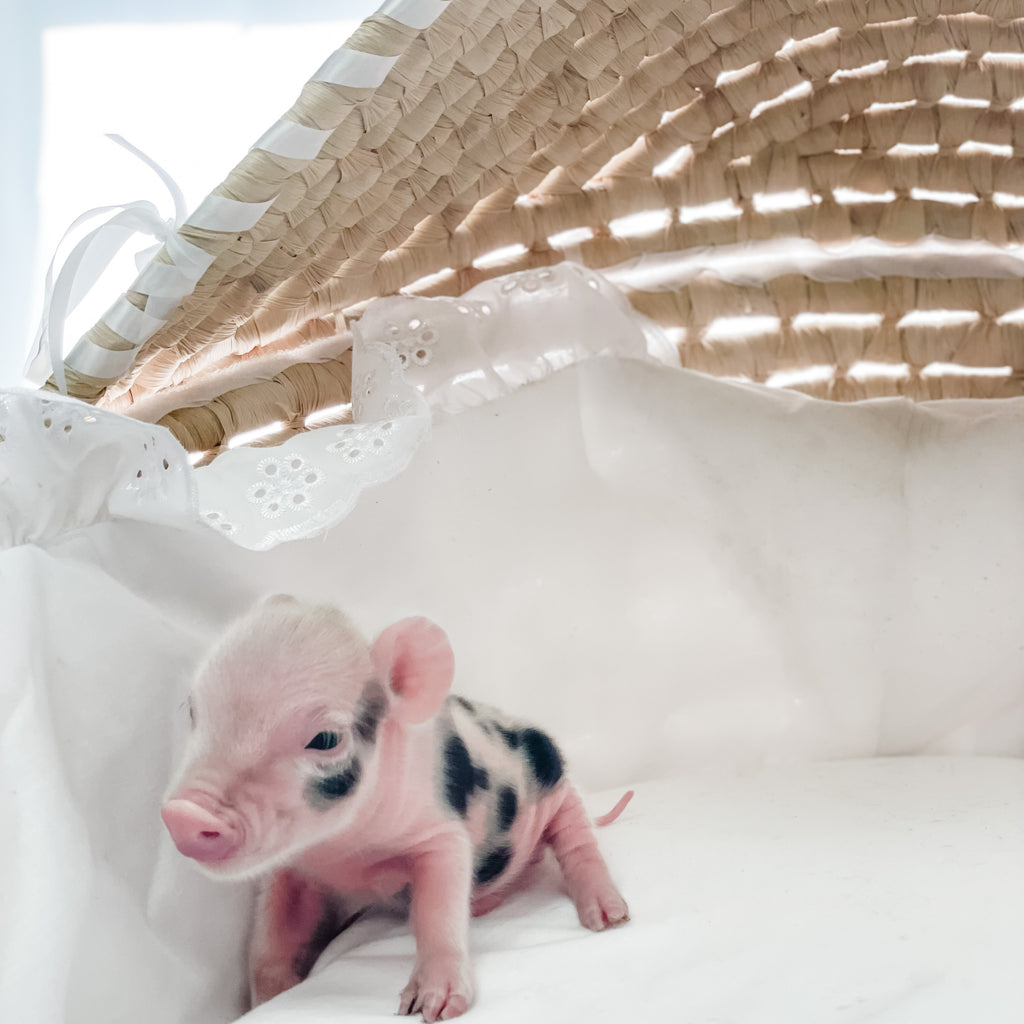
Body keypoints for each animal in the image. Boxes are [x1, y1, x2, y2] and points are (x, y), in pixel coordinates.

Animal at [161, 595, 630, 1022]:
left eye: (325, 739)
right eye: (193, 711)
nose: (185, 814)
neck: (343, 853)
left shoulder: (441, 831)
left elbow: (437, 911)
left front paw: (432, 1007)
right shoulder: (290, 868)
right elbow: (270, 939)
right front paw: (267, 1003)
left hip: (560, 789)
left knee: (578, 840)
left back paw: (608, 917)